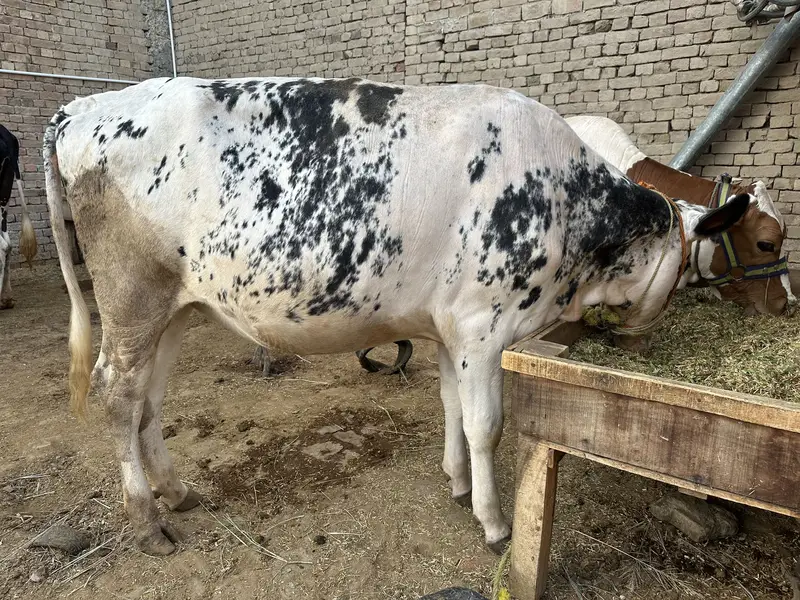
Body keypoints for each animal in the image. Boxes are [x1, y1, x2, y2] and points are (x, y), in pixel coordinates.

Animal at [44, 76, 749, 556]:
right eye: (694, 270)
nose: (644, 339)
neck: (563, 199)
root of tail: (87, 108)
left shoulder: (448, 328)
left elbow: (451, 408)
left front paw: (457, 482)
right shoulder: (484, 326)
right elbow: (486, 424)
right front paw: (494, 521)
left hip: (176, 306)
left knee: (149, 399)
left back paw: (175, 490)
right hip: (133, 294)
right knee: (118, 393)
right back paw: (147, 521)